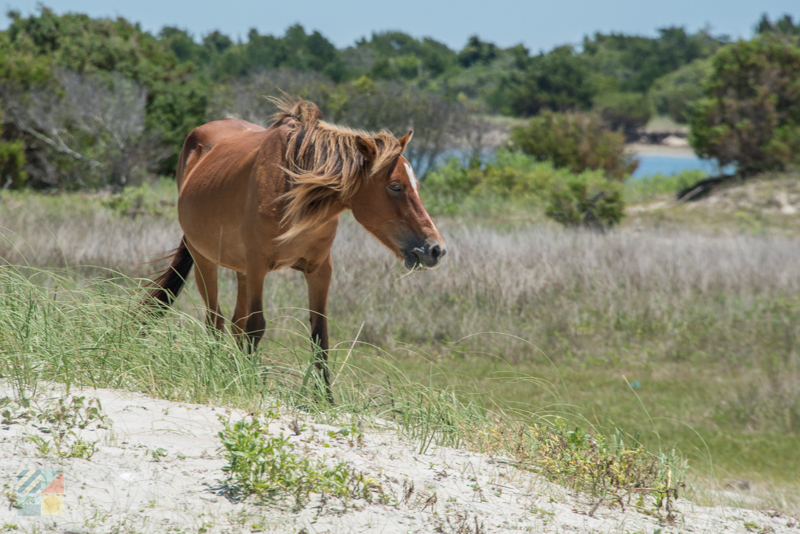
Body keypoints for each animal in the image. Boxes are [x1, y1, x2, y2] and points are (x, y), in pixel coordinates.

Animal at [147, 96, 446, 400]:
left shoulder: (319, 270)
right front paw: (249, 384)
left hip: (240, 270)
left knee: (234, 323)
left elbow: (319, 336)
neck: (293, 192)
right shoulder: (258, 266)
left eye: (416, 185)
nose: (436, 249)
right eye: (395, 186)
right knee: (214, 321)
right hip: (205, 261)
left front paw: (326, 400)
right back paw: (214, 371)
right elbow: (257, 327)